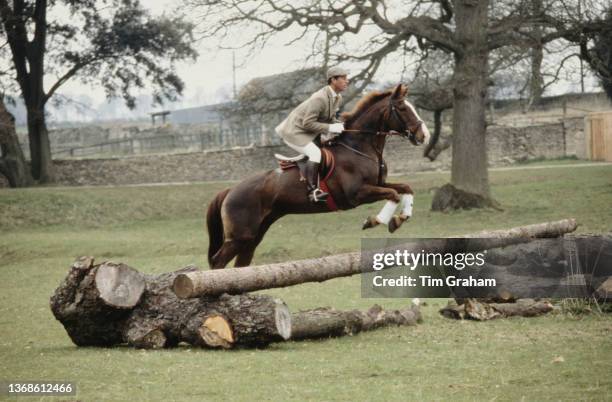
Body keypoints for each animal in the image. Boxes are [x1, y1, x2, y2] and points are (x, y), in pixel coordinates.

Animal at [206, 83, 430, 268]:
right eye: (402, 109)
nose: (424, 136)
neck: (360, 148)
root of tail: (230, 190)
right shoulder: (356, 194)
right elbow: (393, 194)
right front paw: (376, 221)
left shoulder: (379, 183)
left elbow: (405, 188)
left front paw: (401, 218)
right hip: (240, 236)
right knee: (218, 262)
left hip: (255, 234)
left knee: (241, 263)